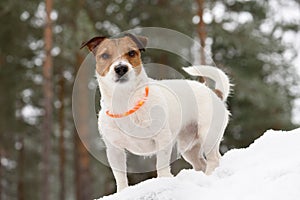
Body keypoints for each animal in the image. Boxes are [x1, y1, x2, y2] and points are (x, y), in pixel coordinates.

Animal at [81, 33, 231, 192]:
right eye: (105, 55)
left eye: (131, 53)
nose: (121, 68)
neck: (126, 101)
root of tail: (214, 93)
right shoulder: (114, 149)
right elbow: (120, 176)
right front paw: (122, 191)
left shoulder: (163, 139)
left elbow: (161, 165)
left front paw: (164, 180)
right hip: (189, 147)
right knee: (201, 163)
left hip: (208, 134)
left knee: (214, 160)